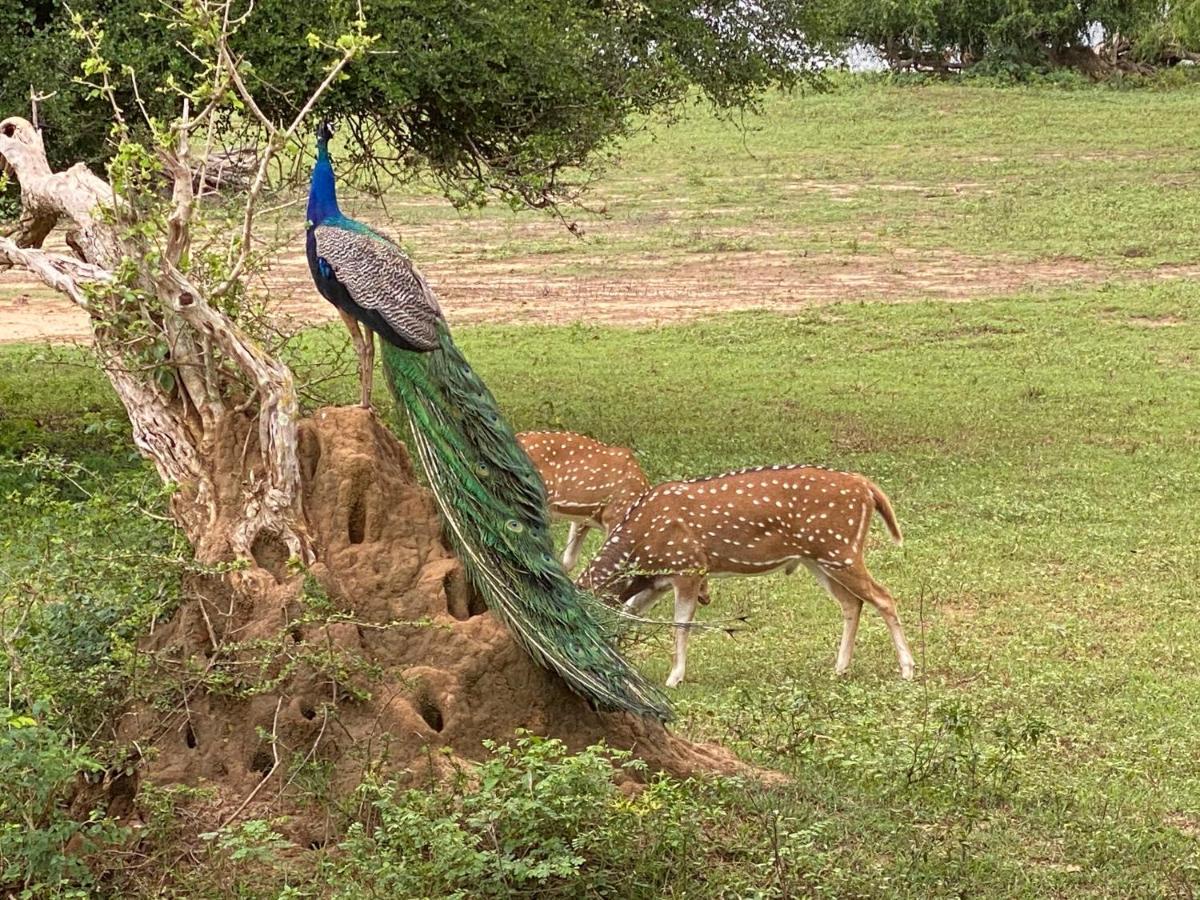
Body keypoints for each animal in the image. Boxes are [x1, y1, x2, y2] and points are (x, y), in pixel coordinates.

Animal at [576, 468, 912, 686]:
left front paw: (675, 677)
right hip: (819, 558)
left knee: (884, 596)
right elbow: (627, 614)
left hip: (839, 549)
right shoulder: (657, 581)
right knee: (852, 603)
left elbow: (681, 624)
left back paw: (907, 669)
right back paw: (840, 668)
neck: (638, 545)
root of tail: (866, 487)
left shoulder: (688, 566)